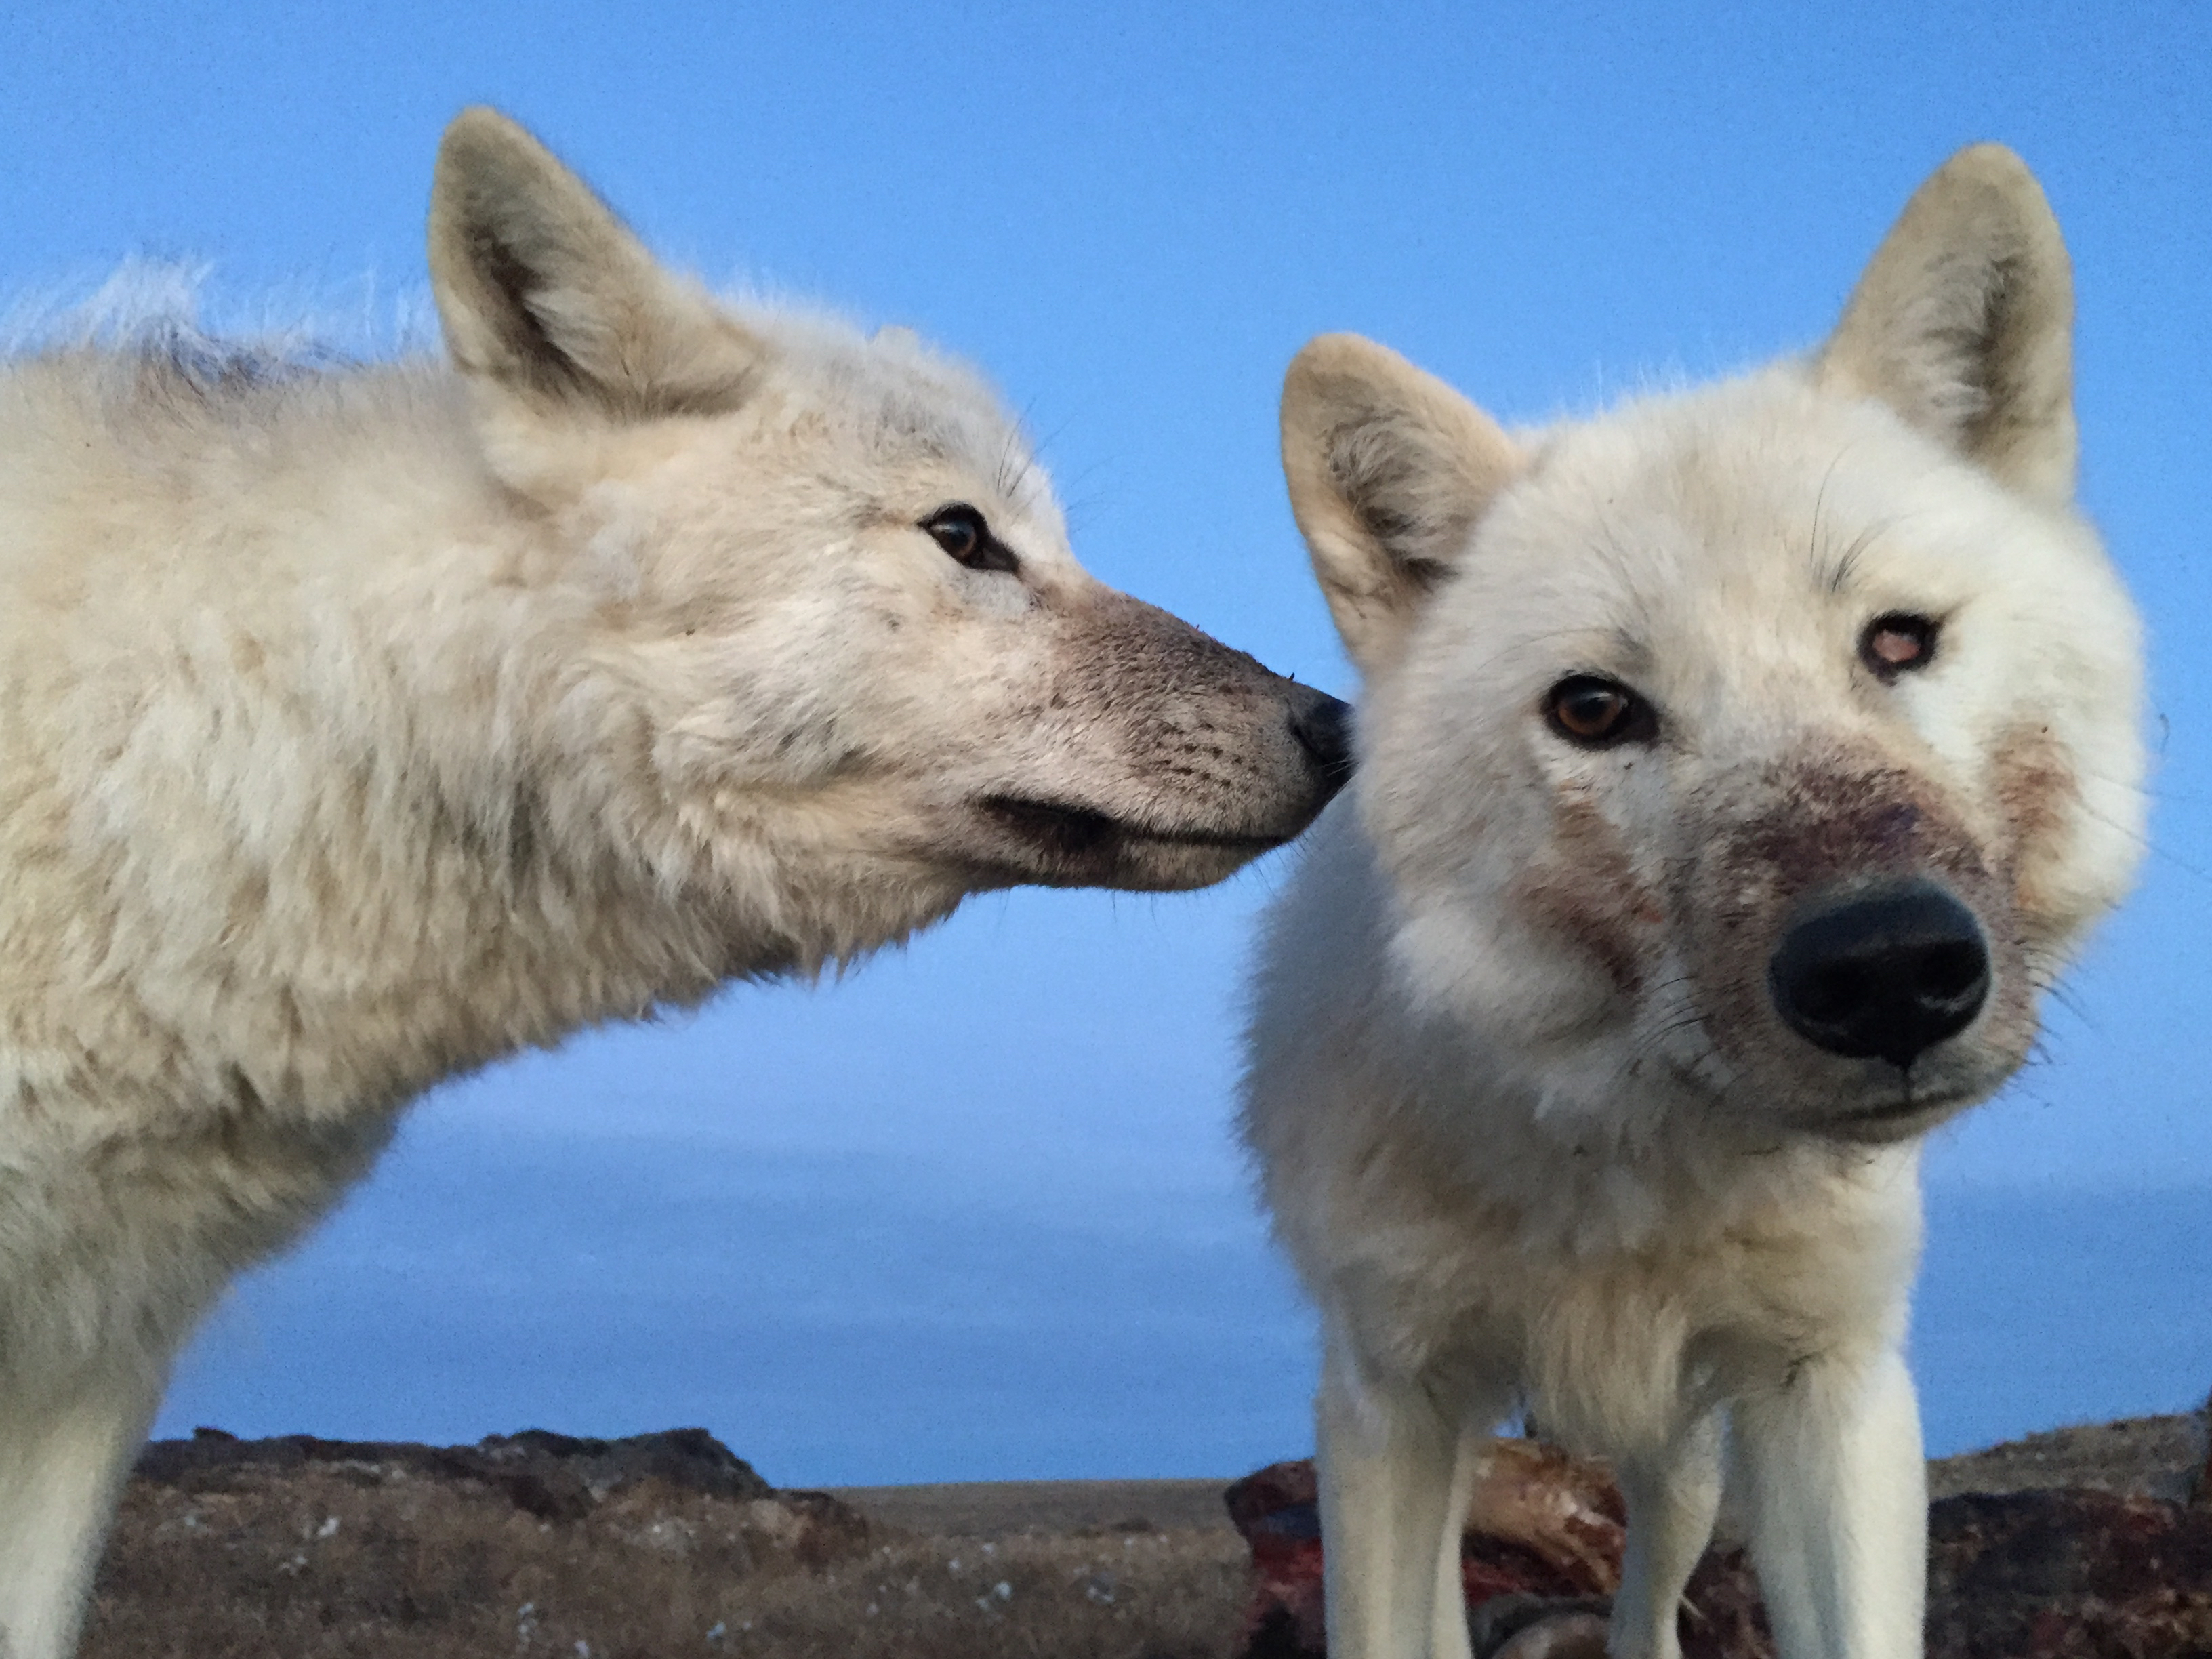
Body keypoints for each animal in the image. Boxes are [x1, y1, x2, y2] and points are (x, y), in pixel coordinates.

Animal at [1242, 145, 2144, 1659]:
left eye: (1898, 639)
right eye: (1594, 709)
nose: (1885, 968)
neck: (1620, 1146)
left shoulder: (1830, 1393)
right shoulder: (1384, 1403)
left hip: (1679, 1464)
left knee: (1647, 1612)